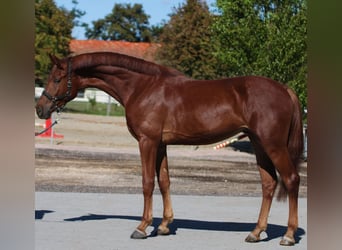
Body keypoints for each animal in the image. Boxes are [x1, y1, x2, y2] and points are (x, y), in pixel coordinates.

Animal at [35, 51, 302, 245]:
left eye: (57, 79)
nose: (41, 109)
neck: (142, 87)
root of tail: (285, 89)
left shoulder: (147, 141)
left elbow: (147, 183)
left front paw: (142, 227)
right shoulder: (161, 144)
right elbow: (164, 181)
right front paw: (164, 225)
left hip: (273, 145)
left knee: (291, 179)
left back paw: (288, 235)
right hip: (259, 144)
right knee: (268, 184)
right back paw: (256, 232)